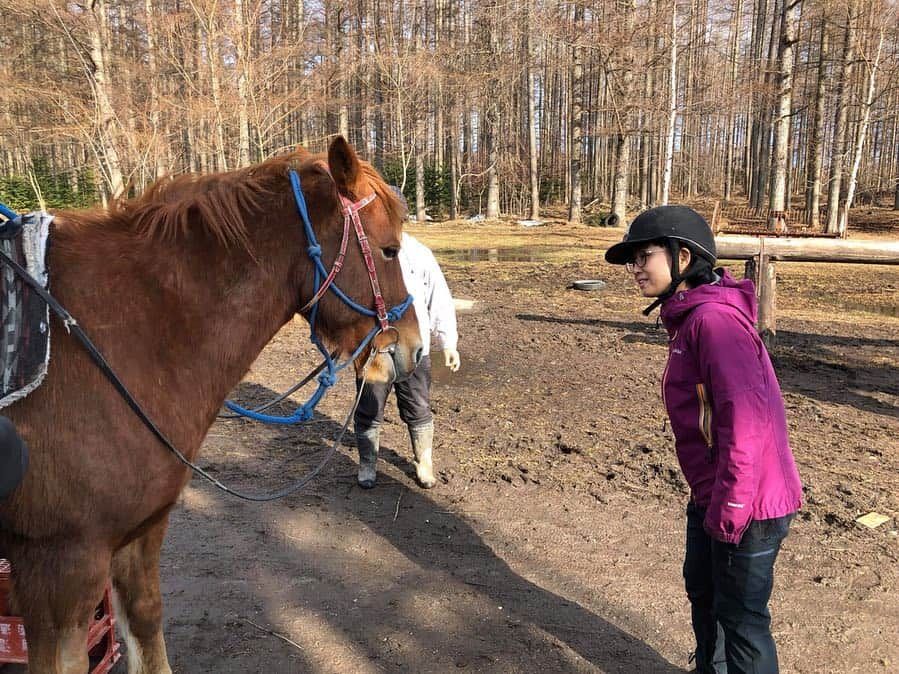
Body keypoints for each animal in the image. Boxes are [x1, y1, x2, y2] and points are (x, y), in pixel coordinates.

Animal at [0, 136, 418, 672]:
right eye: (390, 249)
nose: (413, 348)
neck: (117, 336)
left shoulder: (139, 534)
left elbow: (147, 624)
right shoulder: (57, 568)